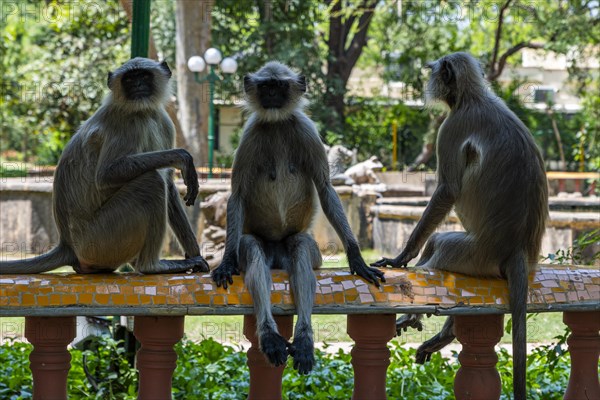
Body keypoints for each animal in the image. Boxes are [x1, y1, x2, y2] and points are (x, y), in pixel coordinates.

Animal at [0, 57, 209, 276]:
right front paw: (182, 157)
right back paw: (151, 266)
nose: (137, 86)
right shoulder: (128, 123)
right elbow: (106, 175)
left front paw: (196, 254)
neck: (144, 111)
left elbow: (168, 182)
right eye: (129, 79)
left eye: (143, 76)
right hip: (99, 240)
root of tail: (68, 245)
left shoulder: (165, 123)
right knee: (150, 182)